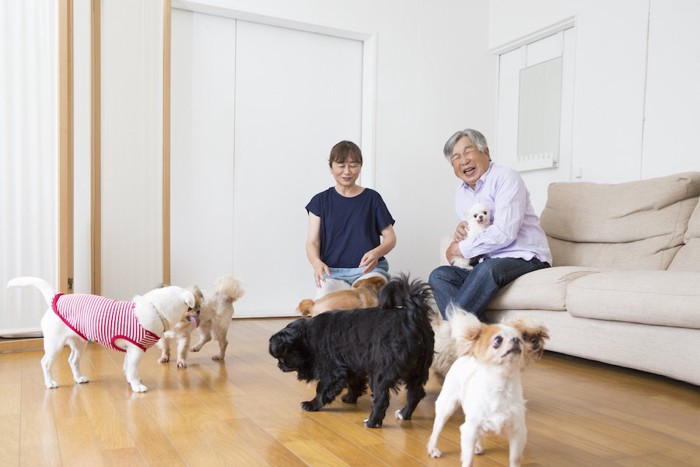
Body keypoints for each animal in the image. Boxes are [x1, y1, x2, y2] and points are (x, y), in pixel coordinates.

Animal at [6, 276, 196, 394]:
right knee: (45, 362)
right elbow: (133, 369)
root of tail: (57, 298)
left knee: (72, 360)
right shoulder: (136, 350)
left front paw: (130, 380)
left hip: (79, 343)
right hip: (55, 344)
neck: (155, 309)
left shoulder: (130, 351)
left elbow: (127, 367)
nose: (199, 311)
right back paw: (50, 383)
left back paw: (79, 378)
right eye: (191, 307)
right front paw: (137, 385)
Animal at [266, 276, 432, 430]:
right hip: (418, 370)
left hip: (381, 372)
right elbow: (354, 383)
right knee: (415, 393)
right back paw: (404, 414)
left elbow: (322, 389)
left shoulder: (332, 371)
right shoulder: (352, 364)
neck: (307, 338)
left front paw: (312, 404)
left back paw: (372, 422)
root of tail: (412, 317)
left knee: (381, 399)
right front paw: (350, 397)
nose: (279, 365)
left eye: (282, 358)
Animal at [430, 308, 528, 467]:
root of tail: (465, 355)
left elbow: (514, 459)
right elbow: (468, 459)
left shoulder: (517, 432)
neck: (501, 385)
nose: (516, 340)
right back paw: (433, 448)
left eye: (521, 339)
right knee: (436, 430)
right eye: (498, 340)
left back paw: (477, 446)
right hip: (447, 406)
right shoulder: (469, 430)